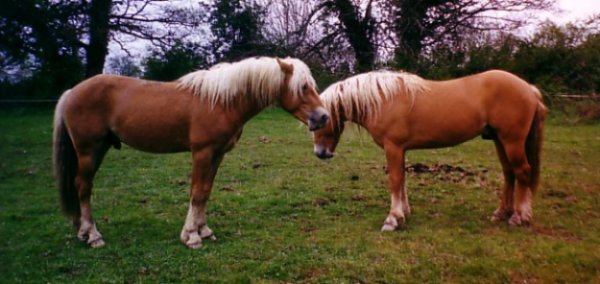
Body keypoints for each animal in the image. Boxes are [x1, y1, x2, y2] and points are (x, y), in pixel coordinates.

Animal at [53, 57, 330, 248]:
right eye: (303, 87)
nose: (323, 117)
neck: (221, 101)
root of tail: (71, 92)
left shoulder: (217, 154)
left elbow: (205, 192)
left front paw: (203, 230)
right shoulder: (202, 153)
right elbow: (196, 192)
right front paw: (192, 237)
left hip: (99, 150)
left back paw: (83, 231)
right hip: (88, 151)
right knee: (83, 187)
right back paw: (93, 235)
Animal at [312, 70, 548, 232]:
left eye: (322, 119)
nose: (320, 153)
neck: (384, 100)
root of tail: (529, 88)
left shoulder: (393, 147)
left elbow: (395, 180)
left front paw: (393, 219)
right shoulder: (401, 149)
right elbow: (402, 179)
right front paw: (404, 213)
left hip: (512, 141)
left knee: (522, 172)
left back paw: (520, 216)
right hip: (499, 140)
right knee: (509, 174)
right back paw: (501, 213)